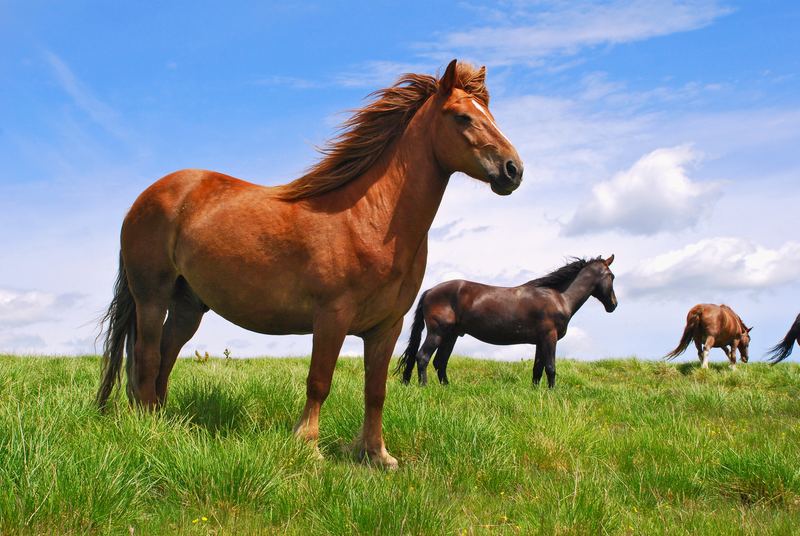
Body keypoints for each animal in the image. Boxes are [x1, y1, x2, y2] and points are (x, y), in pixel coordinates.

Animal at [94, 60, 523, 469]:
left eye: (490, 115)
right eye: (462, 117)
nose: (513, 169)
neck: (369, 216)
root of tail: (148, 196)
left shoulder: (387, 327)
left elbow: (376, 390)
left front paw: (376, 455)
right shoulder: (331, 316)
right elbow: (319, 381)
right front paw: (309, 446)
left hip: (188, 306)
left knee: (165, 356)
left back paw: (163, 421)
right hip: (152, 297)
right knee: (147, 355)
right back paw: (149, 427)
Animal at [395, 256, 617, 388]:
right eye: (612, 276)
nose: (613, 305)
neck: (559, 297)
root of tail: (429, 291)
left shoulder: (540, 341)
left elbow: (537, 369)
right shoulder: (550, 337)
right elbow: (551, 367)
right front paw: (552, 393)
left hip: (451, 336)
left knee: (440, 362)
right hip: (437, 332)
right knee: (423, 357)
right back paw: (424, 387)